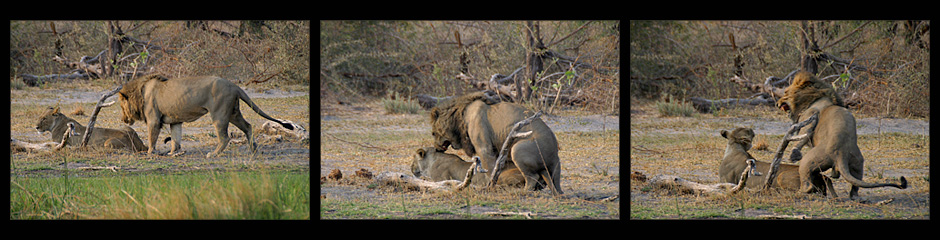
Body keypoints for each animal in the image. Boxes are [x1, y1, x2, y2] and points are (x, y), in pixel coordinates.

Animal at [117, 75, 294, 158]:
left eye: (121, 106)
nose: (123, 119)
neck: (140, 92)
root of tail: (234, 85)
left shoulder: (153, 120)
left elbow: (152, 138)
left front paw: (149, 153)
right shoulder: (175, 121)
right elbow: (175, 138)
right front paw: (173, 153)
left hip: (219, 114)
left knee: (225, 137)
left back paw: (213, 154)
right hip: (233, 113)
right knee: (248, 126)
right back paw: (254, 150)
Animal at [430, 91, 560, 196]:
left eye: (433, 133)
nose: (436, 147)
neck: (460, 116)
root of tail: (555, 155)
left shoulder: (484, 148)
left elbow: (490, 169)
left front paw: (490, 185)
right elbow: (496, 168)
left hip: (517, 148)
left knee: (533, 177)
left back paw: (522, 191)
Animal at [776, 71, 908, 199]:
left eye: (785, 92)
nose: (777, 104)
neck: (814, 97)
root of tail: (841, 152)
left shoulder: (810, 115)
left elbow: (805, 133)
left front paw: (794, 153)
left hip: (810, 160)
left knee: (808, 183)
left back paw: (798, 193)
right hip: (857, 160)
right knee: (856, 182)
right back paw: (853, 195)